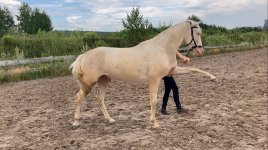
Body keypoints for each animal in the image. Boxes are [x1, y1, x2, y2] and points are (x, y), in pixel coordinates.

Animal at [70, 19, 215, 127]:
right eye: (197, 33)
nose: (200, 51)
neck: (162, 48)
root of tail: (82, 56)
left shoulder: (171, 71)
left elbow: (195, 69)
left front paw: (212, 77)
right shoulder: (155, 79)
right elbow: (153, 100)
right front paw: (154, 123)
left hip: (103, 80)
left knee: (100, 99)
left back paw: (110, 120)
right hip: (89, 82)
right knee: (78, 97)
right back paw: (76, 122)